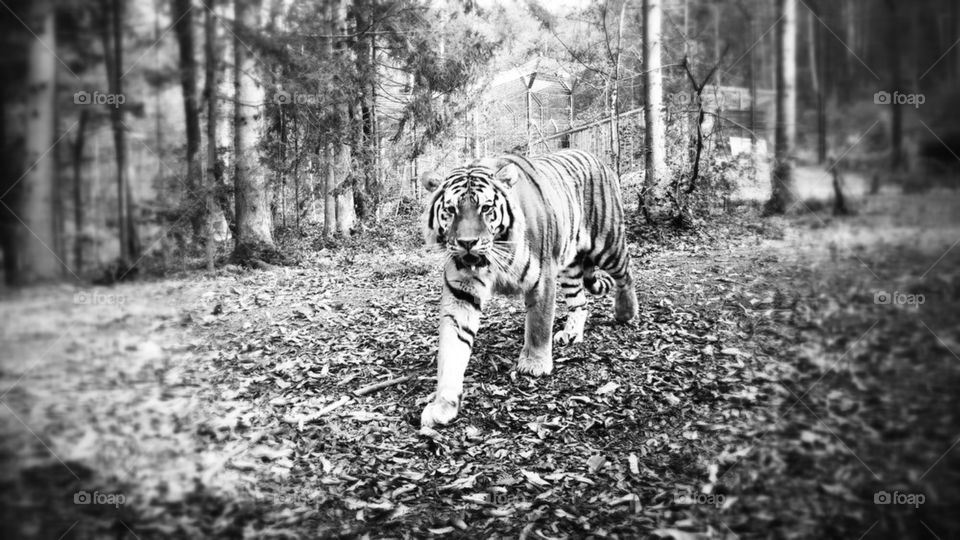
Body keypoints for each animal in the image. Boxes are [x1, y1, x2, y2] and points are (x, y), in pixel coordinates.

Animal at [419, 149, 638, 429]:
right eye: (450, 209)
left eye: (485, 208)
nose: (467, 243)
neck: (492, 259)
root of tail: (594, 157)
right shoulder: (461, 292)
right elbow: (452, 348)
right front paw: (443, 404)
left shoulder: (542, 277)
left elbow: (538, 325)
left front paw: (534, 364)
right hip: (569, 267)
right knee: (580, 303)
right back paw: (571, 333)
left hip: (607, 243)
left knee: (626, 272)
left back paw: (625, 312)